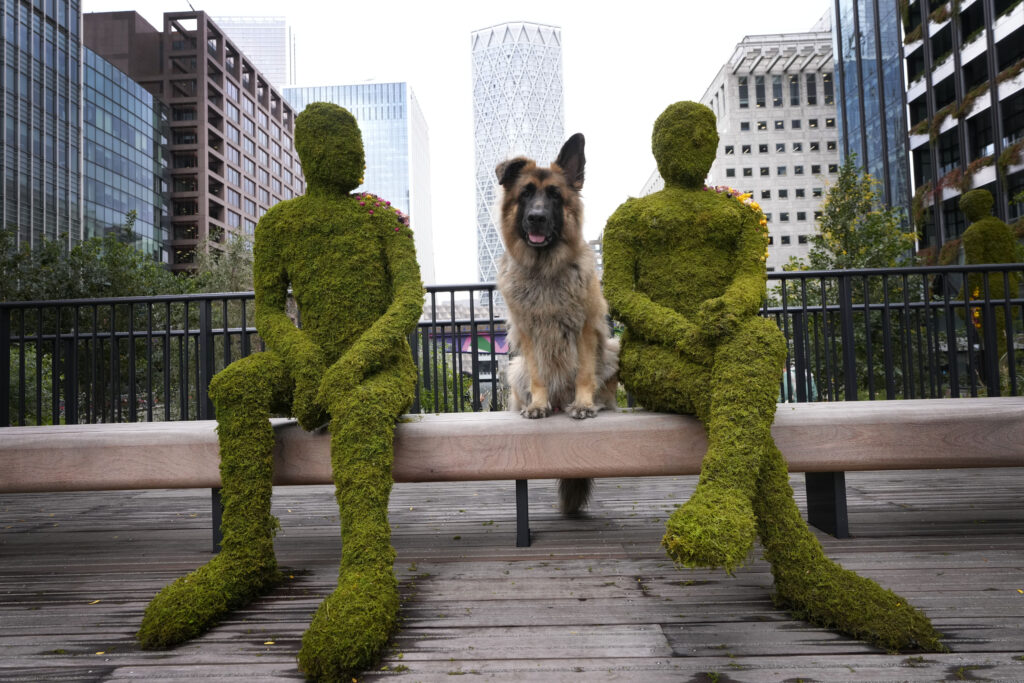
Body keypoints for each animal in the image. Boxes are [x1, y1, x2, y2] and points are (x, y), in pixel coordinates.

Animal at [493, 133, 614, 516]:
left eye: (555, 196)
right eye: (526, 194)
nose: (536, 218)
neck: (544, 269)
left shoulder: (585, 329)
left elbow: (584, 373)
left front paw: (585, 404)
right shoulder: (529, 335)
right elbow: (538, 374)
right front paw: (538, 405)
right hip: (514, 368)